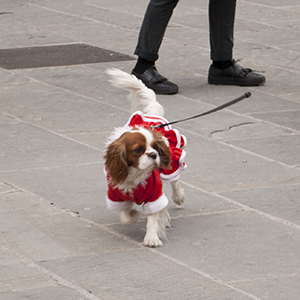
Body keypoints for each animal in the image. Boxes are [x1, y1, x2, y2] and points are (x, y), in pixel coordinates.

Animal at [104, 69, 186, 247]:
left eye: (155, 147)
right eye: (138, 150)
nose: (154, 154)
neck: (134, 175)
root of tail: (151, 115)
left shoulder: (154, 195)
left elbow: (153, 219)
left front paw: (152, 238)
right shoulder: (116, 195)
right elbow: (125, 215)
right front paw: (133, 214)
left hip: (172, 163)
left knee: (175, 181)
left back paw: (178, 197)